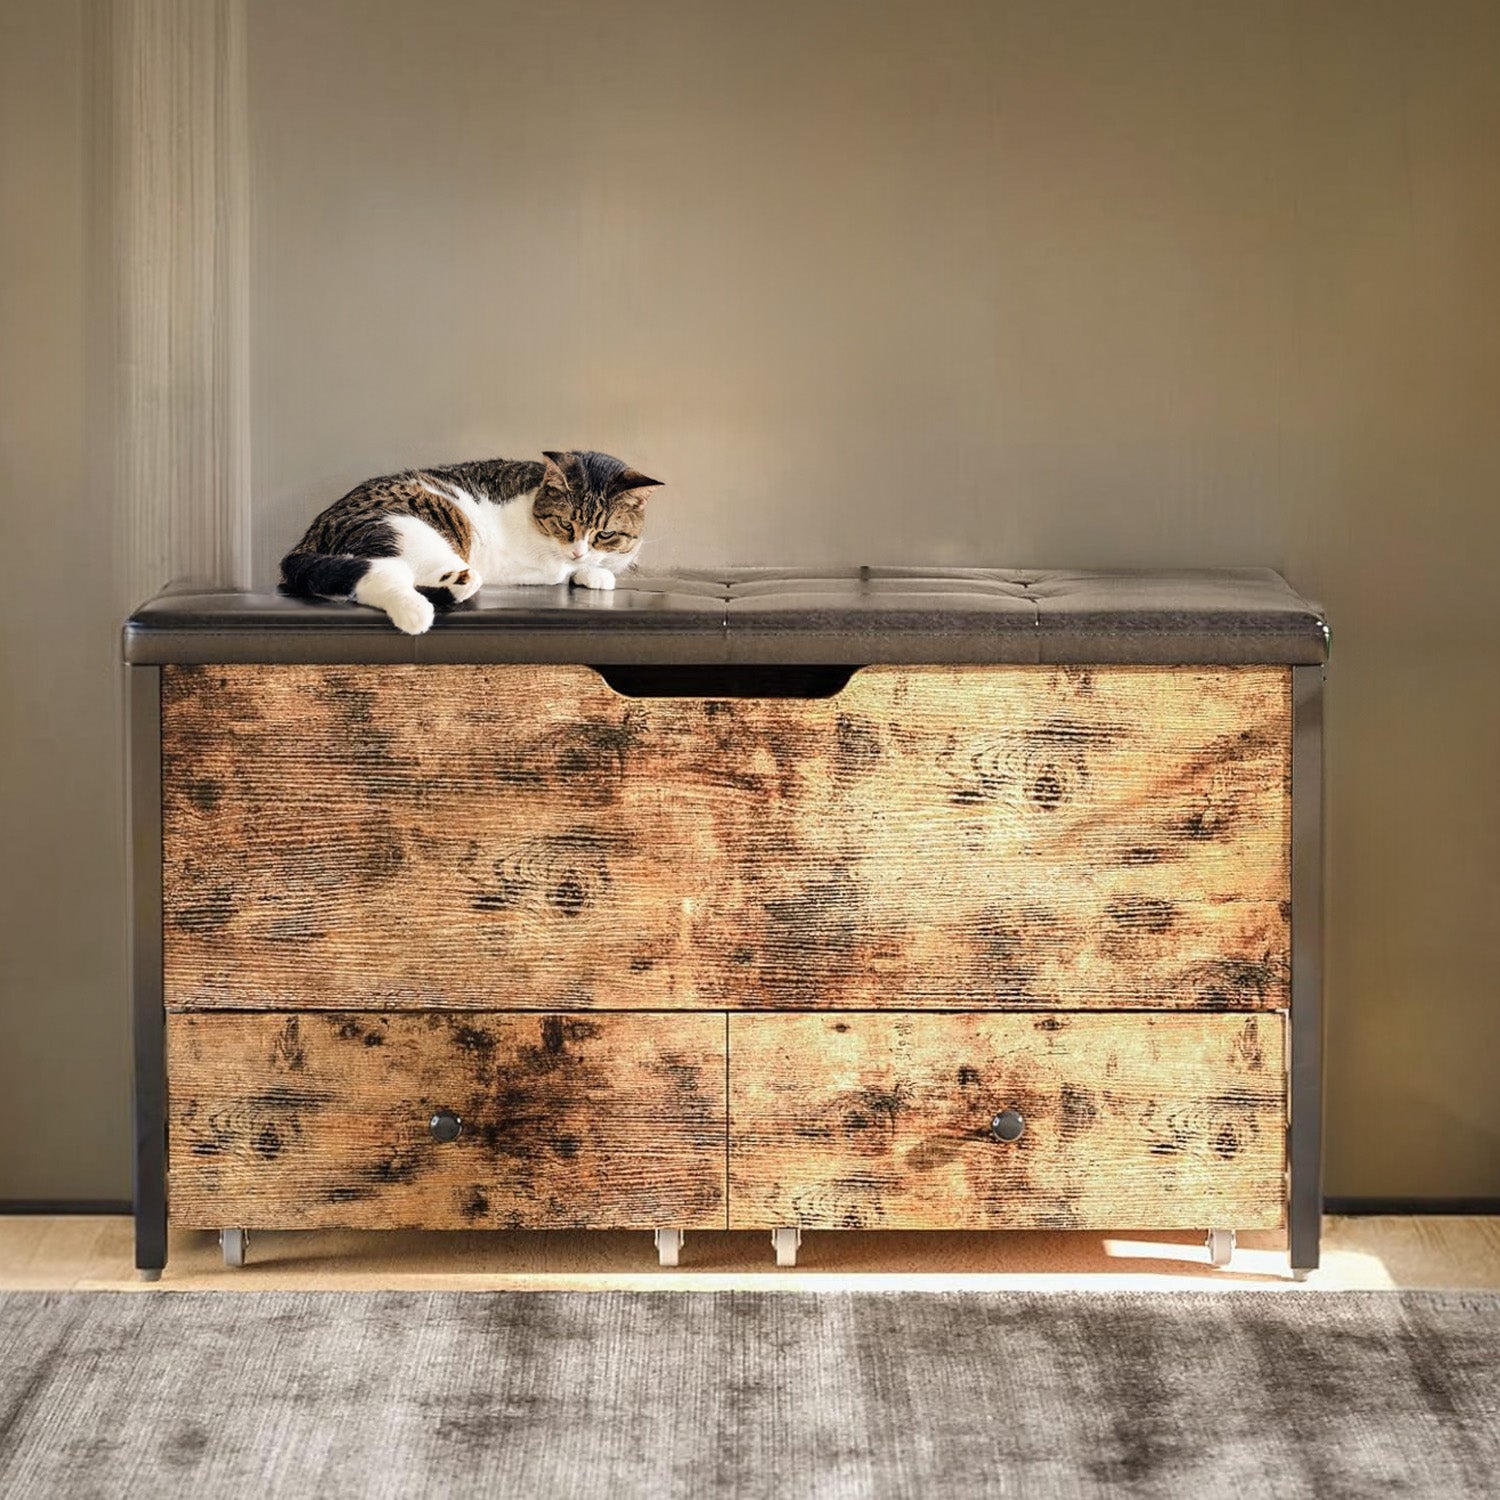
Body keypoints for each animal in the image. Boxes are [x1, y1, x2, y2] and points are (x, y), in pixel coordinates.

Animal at [280, 444, 663, 633]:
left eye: (605, 533)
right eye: (565, 524)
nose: (578, 552)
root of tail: (310, 533)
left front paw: (595, 570)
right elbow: (558, 571)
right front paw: (583, 570)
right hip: (409, 524)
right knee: (380, 574)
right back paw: (418, 611)